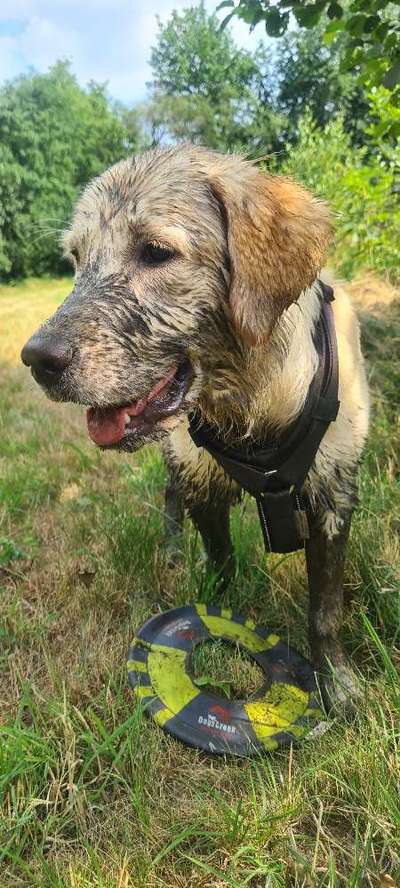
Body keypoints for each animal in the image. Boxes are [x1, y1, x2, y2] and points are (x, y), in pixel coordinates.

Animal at [19, 146, 368, 716]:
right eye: (76, 259)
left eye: (156, 252)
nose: (37, 360)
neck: (253, 398)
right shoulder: (202, 478)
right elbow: (221, 561)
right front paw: (212, 615)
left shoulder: (334, 495)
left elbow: (325, 610)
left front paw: (336, 683)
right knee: (169, 495)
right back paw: (170, 549)